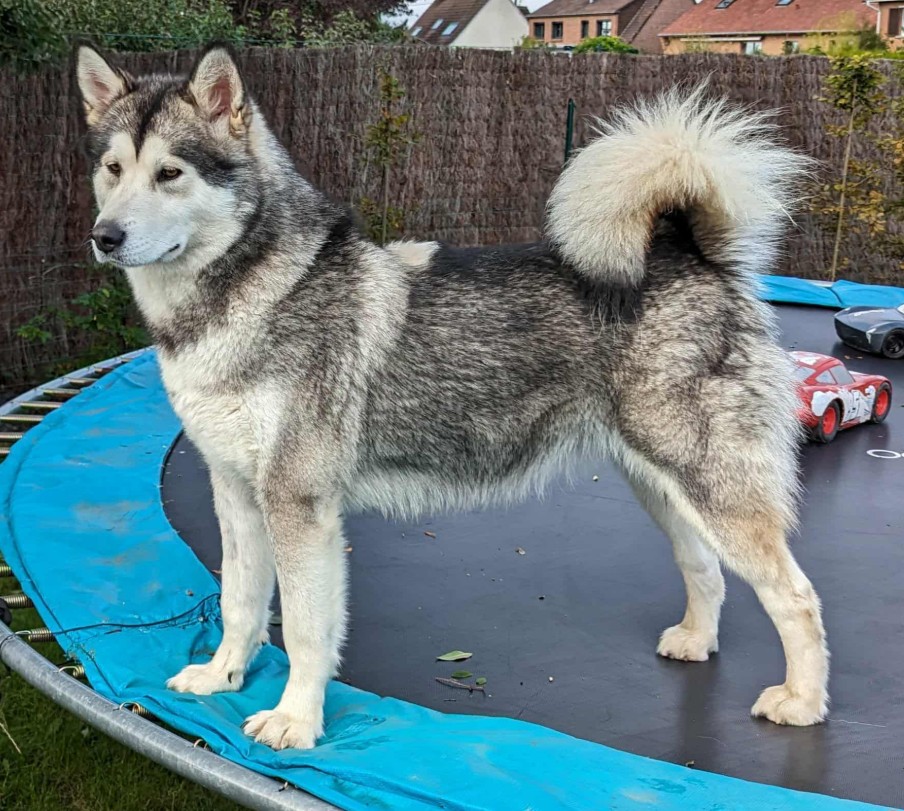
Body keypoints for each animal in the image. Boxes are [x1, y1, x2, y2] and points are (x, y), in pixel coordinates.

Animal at [75, 44, 829, 750]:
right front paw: (222, 675)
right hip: (661, 486)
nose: (103, 237)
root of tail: (690, 254)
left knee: (796, 596)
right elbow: (238, 600)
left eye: (170, 173)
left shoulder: (299, 505)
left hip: (711, 486)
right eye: (113, 170)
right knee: (704, 566)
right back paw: (697, 640)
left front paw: (295, 719)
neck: (249, 294)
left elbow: (308, 630)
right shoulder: (236, 492)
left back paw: (801, 700)